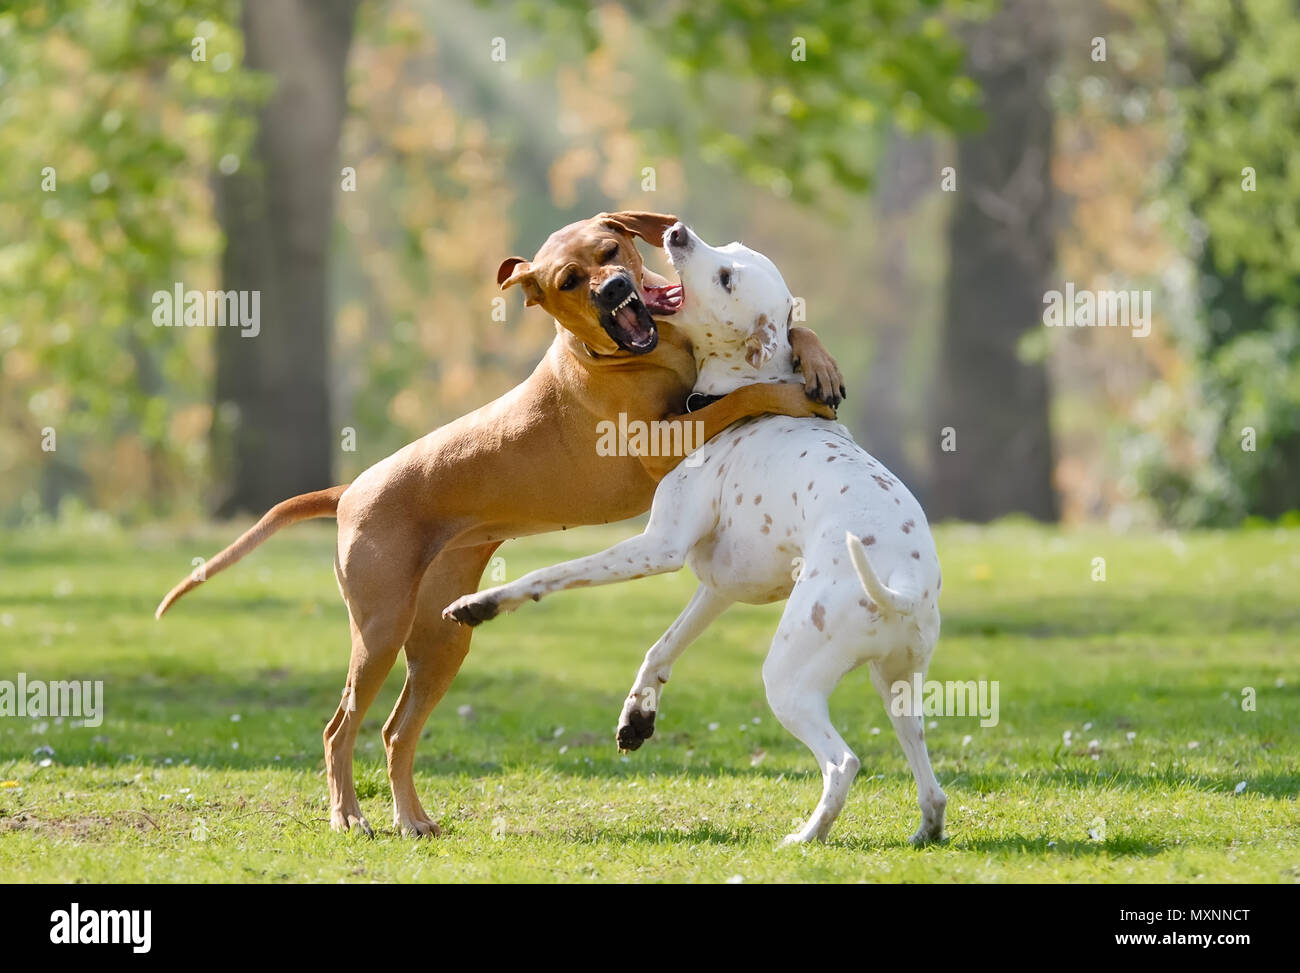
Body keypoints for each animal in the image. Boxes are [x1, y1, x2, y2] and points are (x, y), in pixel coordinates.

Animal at [157, 213, 842, 837]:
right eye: (570, 281)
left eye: (610, 250)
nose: (615, 290)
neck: (643, 354)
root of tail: (351, 490)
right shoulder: (662, 441)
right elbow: (742, 397)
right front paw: (791, 393)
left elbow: (792, 333)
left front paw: (817, 360)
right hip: (379, 631)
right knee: (339, 729)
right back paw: (349, 815)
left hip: (441, 640)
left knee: (396, 730)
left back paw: (412, 819)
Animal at [447, 219, 946, 842]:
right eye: (730, 250)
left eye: (727, 276)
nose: (679, 231)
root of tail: (903, 586)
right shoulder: (718, 588)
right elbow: (661, 647)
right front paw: (636, 717)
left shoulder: (657, 548)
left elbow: (552, 572)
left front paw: (481, 603)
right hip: (898, 692)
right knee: (930, 779)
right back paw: (926, 830)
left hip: (789, 680)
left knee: (843, 762)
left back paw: (806, 836)